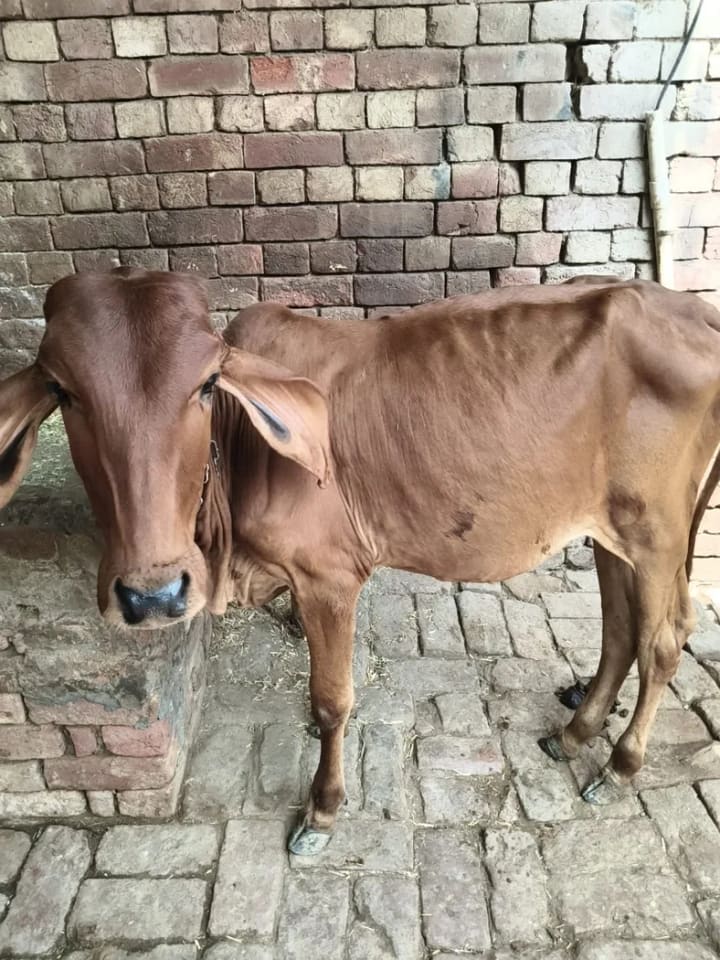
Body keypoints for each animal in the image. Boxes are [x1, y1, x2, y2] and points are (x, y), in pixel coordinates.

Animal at [1, 267, 719, 855]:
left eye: (206, 385)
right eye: (62, 391)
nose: (153, 596)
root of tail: (694, 312)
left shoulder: (329, 579)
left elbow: (332, 701)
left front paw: (323, 808)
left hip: (656, 532)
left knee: (663, 640)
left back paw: (619, 765)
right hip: (610, 532)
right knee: (620, 629)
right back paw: (574, 732)